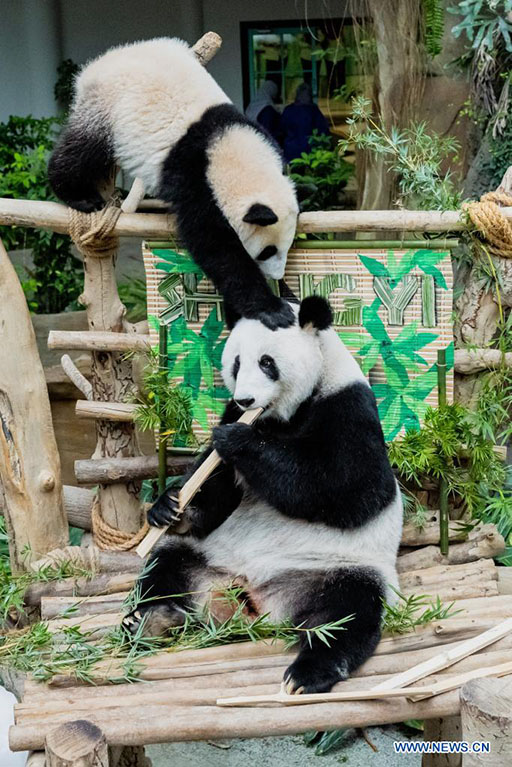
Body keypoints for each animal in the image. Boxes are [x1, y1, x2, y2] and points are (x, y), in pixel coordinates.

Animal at [48, 39, 300, 328]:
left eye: (287, 245)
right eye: (267, 251)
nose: (278, 275)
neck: (229, 150)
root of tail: (100, 62)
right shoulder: (195, 180)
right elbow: (216, 248)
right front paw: (272, 308)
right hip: (105, 107)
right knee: (83, 149)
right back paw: (78, 195)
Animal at [125, 296, 404, 692]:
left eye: (267, 362)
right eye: (237, 363)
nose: (245, 399)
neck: (279, 418)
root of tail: (255, 603)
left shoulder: (348, 406)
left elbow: (350, 488)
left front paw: (238, 441)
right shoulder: (232, 415)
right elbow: (216, 493)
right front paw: (169, 506)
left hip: (342, 569)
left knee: (348, 613)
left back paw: (308, 673)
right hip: (207, 558)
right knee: (165, 566)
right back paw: (150, 619)